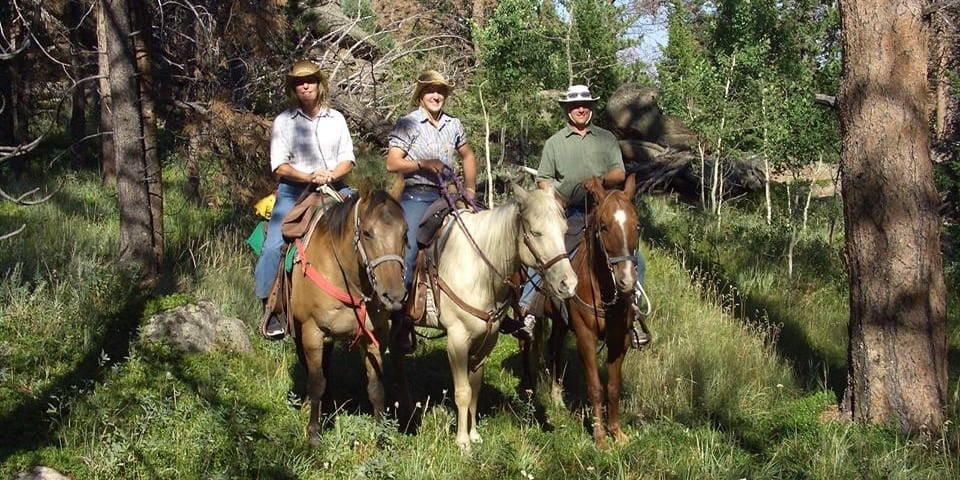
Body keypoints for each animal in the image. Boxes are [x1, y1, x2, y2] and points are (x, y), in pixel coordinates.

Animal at [284, 188, 404, 446]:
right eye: (367, 233)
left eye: (405, 233)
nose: (394, 296)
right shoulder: (312, 331)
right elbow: (316, 382)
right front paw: (314, 434)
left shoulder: (374, 336)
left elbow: (376, 386)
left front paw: (381, 438)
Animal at [414, 184, 576, 450]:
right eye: (536, 232)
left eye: (564, 230)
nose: (569, 284)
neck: (479, 269)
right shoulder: (456, 340)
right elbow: (463, 392)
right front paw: (462, 442)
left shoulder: (487, 339)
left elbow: (475, 387)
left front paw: (474, 434)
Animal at [536, 174, 640, 448]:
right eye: (604, 227)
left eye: (637, 227)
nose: (626, 282)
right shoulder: (585, 337)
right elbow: (594, 386)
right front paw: (600, 437)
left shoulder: (619, 340)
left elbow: (613, 387)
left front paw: (617, 432)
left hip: (561, 322)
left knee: (555, 348)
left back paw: (556, 396)